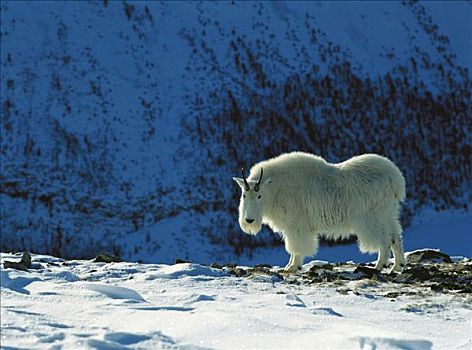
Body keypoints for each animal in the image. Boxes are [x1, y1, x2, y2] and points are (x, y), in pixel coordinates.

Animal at [234, 152, 408, 274]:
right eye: (244, 194)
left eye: (259, 195)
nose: (249, 220)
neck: (274, 189)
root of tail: (395, 178)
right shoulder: (291, 227)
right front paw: (290, 265)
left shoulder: (297, 225)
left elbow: (296, 247)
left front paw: (293, 267)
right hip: (388, 213)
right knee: (395, 237)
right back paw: (397, 267)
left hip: (372, 217)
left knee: (385, 240)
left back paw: (379, 266)